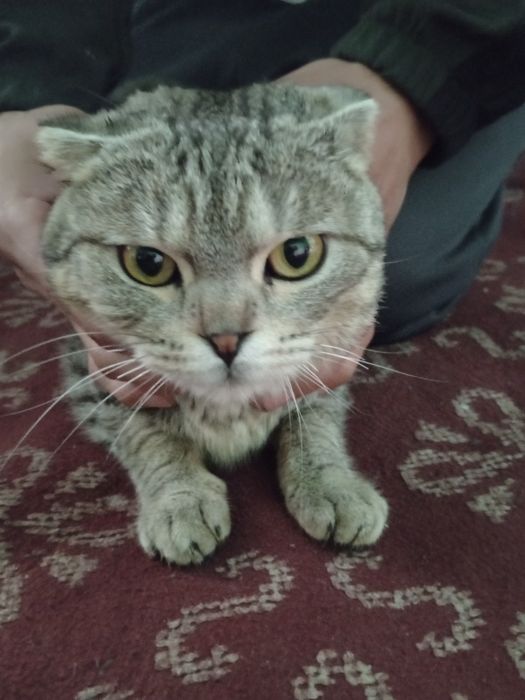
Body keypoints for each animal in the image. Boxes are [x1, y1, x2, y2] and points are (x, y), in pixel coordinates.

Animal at [37, 83, 388, 565]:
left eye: (297, 253)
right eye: (147, 263)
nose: (225, 339)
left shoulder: (332, 355)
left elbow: (316, 416)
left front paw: (330, 480)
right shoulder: (93, 369)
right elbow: (146, 433)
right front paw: (180, 498)